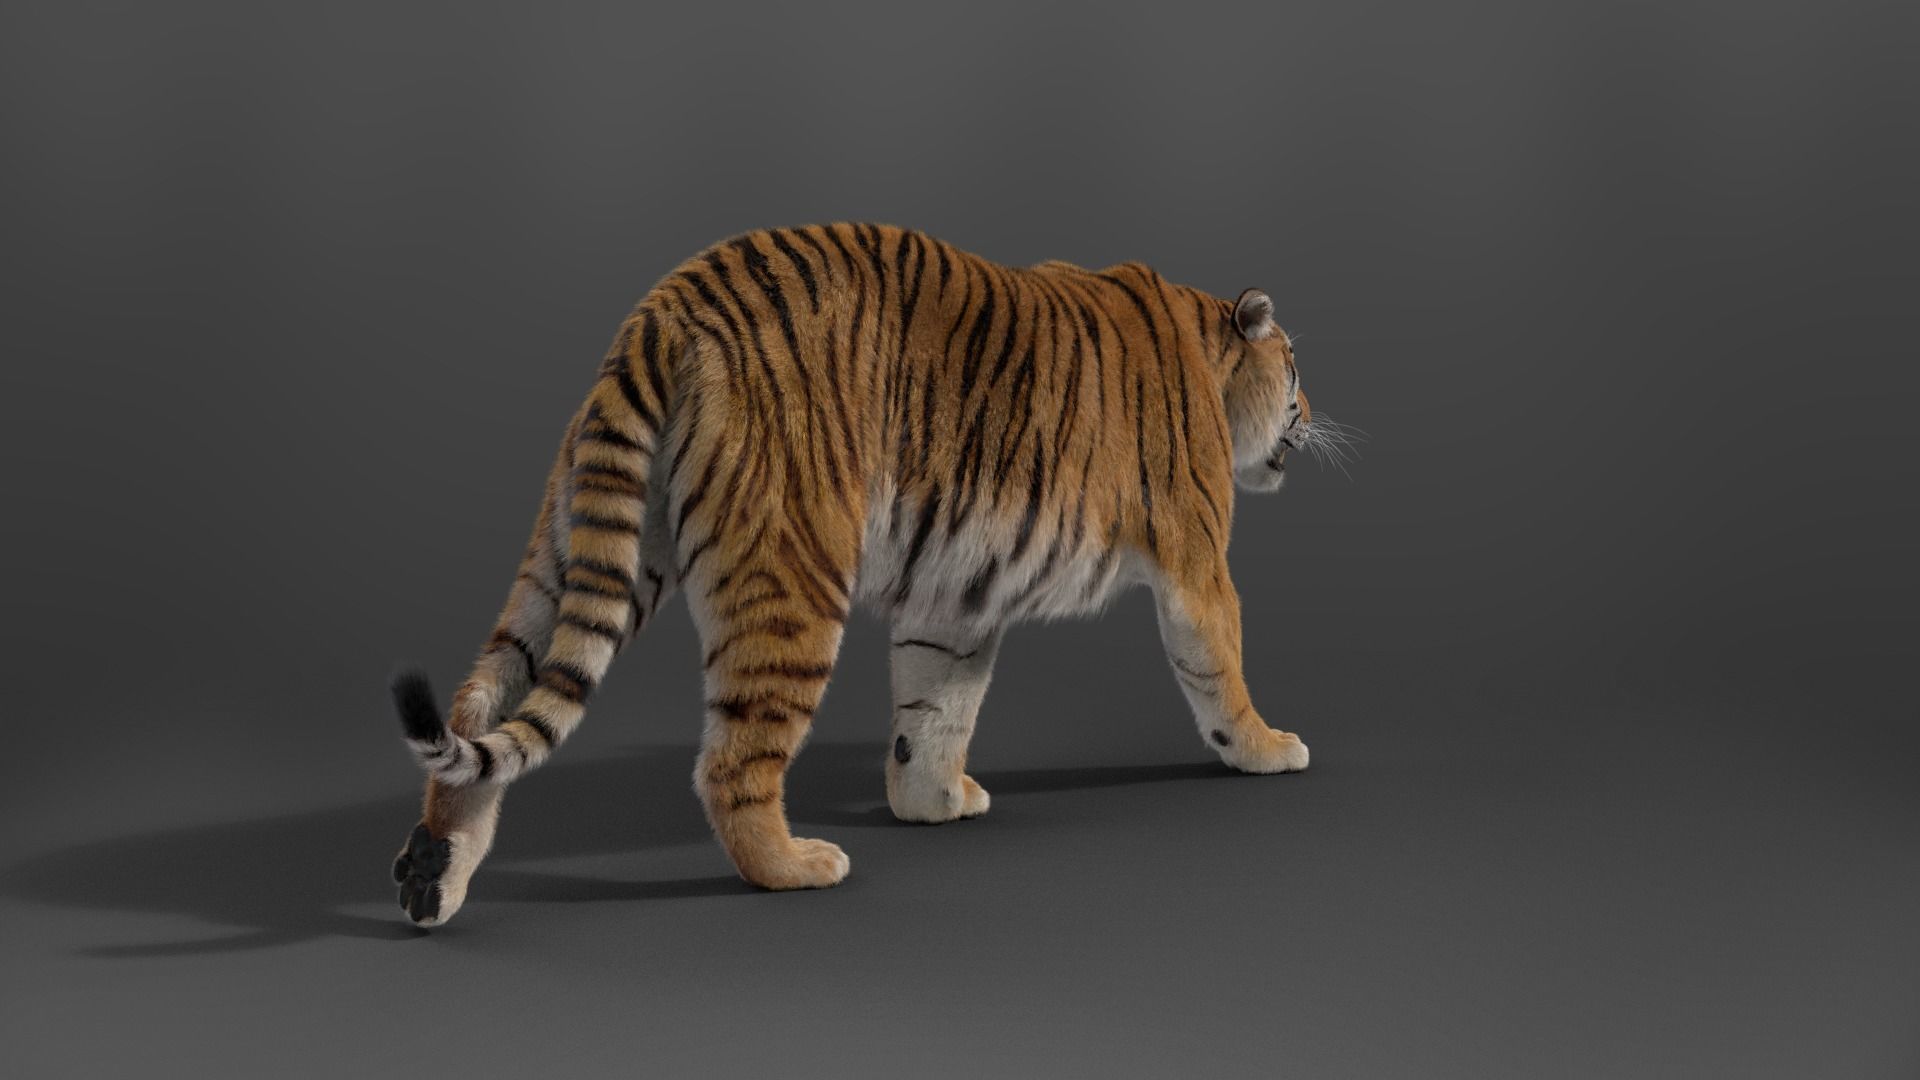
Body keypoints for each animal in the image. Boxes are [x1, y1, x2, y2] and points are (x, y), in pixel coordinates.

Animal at [389, 222, 1339, 927]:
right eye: (1296, 365)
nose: (1310, 412)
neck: (1209, 346)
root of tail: (669, 307)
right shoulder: (1197, 558)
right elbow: (1219, 668)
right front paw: (1269, 748)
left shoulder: (954, 602)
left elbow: (936, 709)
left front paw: (933, 799)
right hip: (793, 576)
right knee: (729, 762)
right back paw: (795, 865)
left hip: (588, 549)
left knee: (482, 705)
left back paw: (434, 869)